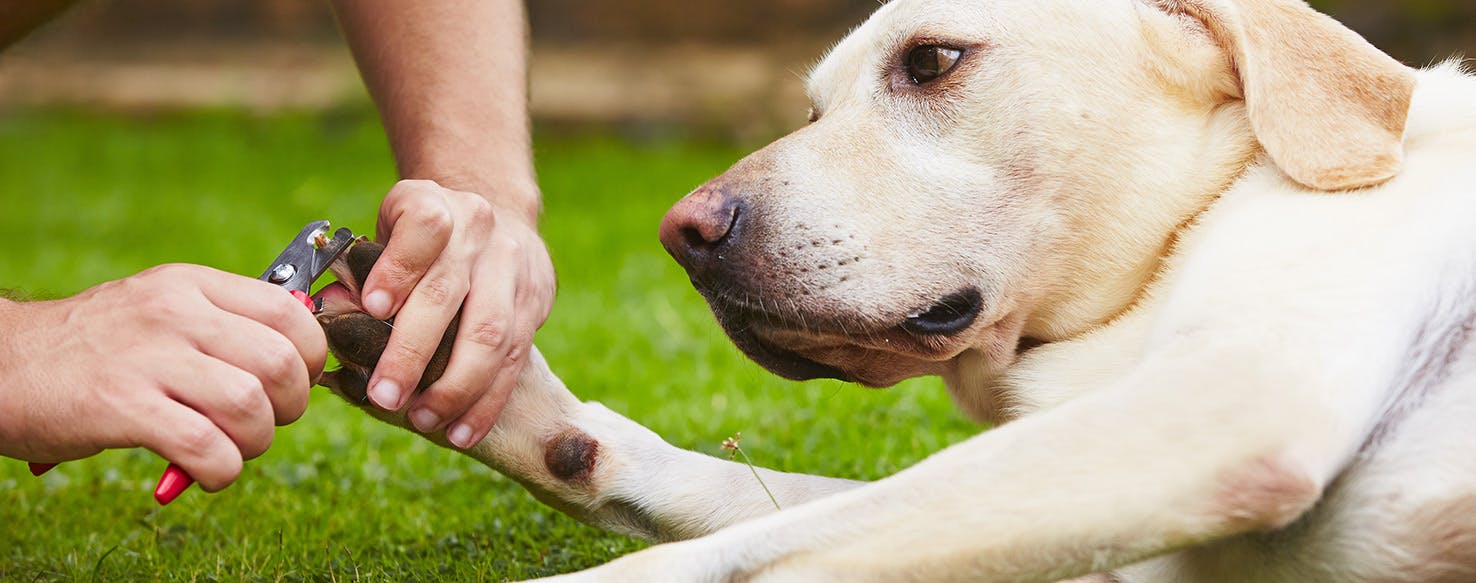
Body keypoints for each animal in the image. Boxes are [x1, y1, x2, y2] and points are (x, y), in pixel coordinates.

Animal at [326, 0, 1476, 578]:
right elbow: (732, 498)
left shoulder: (1229, 407)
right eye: (814, 107)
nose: (682, 234)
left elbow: (738, 555)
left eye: (930, 61)